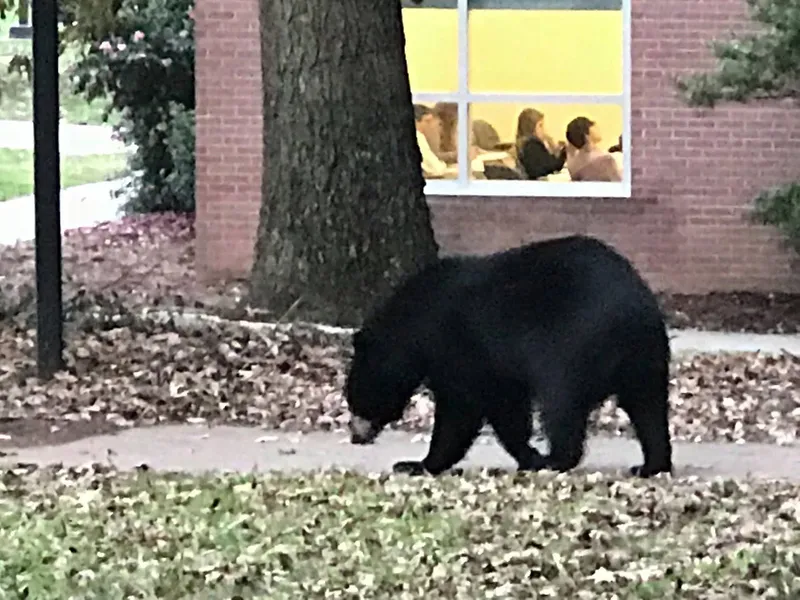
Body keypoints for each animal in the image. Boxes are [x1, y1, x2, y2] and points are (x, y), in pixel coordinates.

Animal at [345, 234, 672, 478]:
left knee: (561, 402)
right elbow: (505, 405)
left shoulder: (460, 346)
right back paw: (650, 465)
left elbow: (464, 408)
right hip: (645, 356)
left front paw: (417, 463)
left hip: (574, 344)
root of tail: (635, 312)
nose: (354, 436)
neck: (415, 324)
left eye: (353, 398)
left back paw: (556, 459)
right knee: (648, 406)